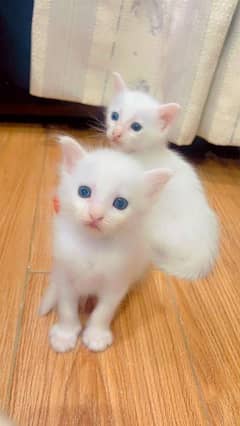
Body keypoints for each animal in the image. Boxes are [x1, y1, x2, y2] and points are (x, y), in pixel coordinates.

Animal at [39, 137, 171, 352]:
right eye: (84, 192)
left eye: (120, 203)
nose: (96, 215)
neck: (93, 245)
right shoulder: (64, 274)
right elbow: (66, 307)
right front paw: (65, 335)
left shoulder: (117, 281)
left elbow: (104, 311)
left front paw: (96, 335)